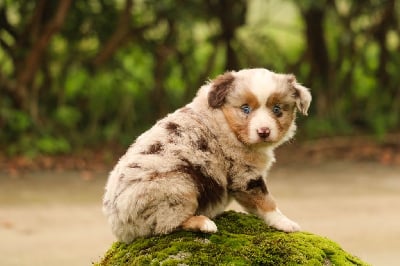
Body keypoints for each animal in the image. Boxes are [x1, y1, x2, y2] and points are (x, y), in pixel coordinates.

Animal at [101, 67, 310, 242]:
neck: (226, 122)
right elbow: (265, 200)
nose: (264, 131)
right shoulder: (244, 173)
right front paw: (285, 223)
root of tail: (118, 224)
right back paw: (203, 223)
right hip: (179, 185)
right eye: (245, 109)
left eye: (277, 109)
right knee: (166, 225)